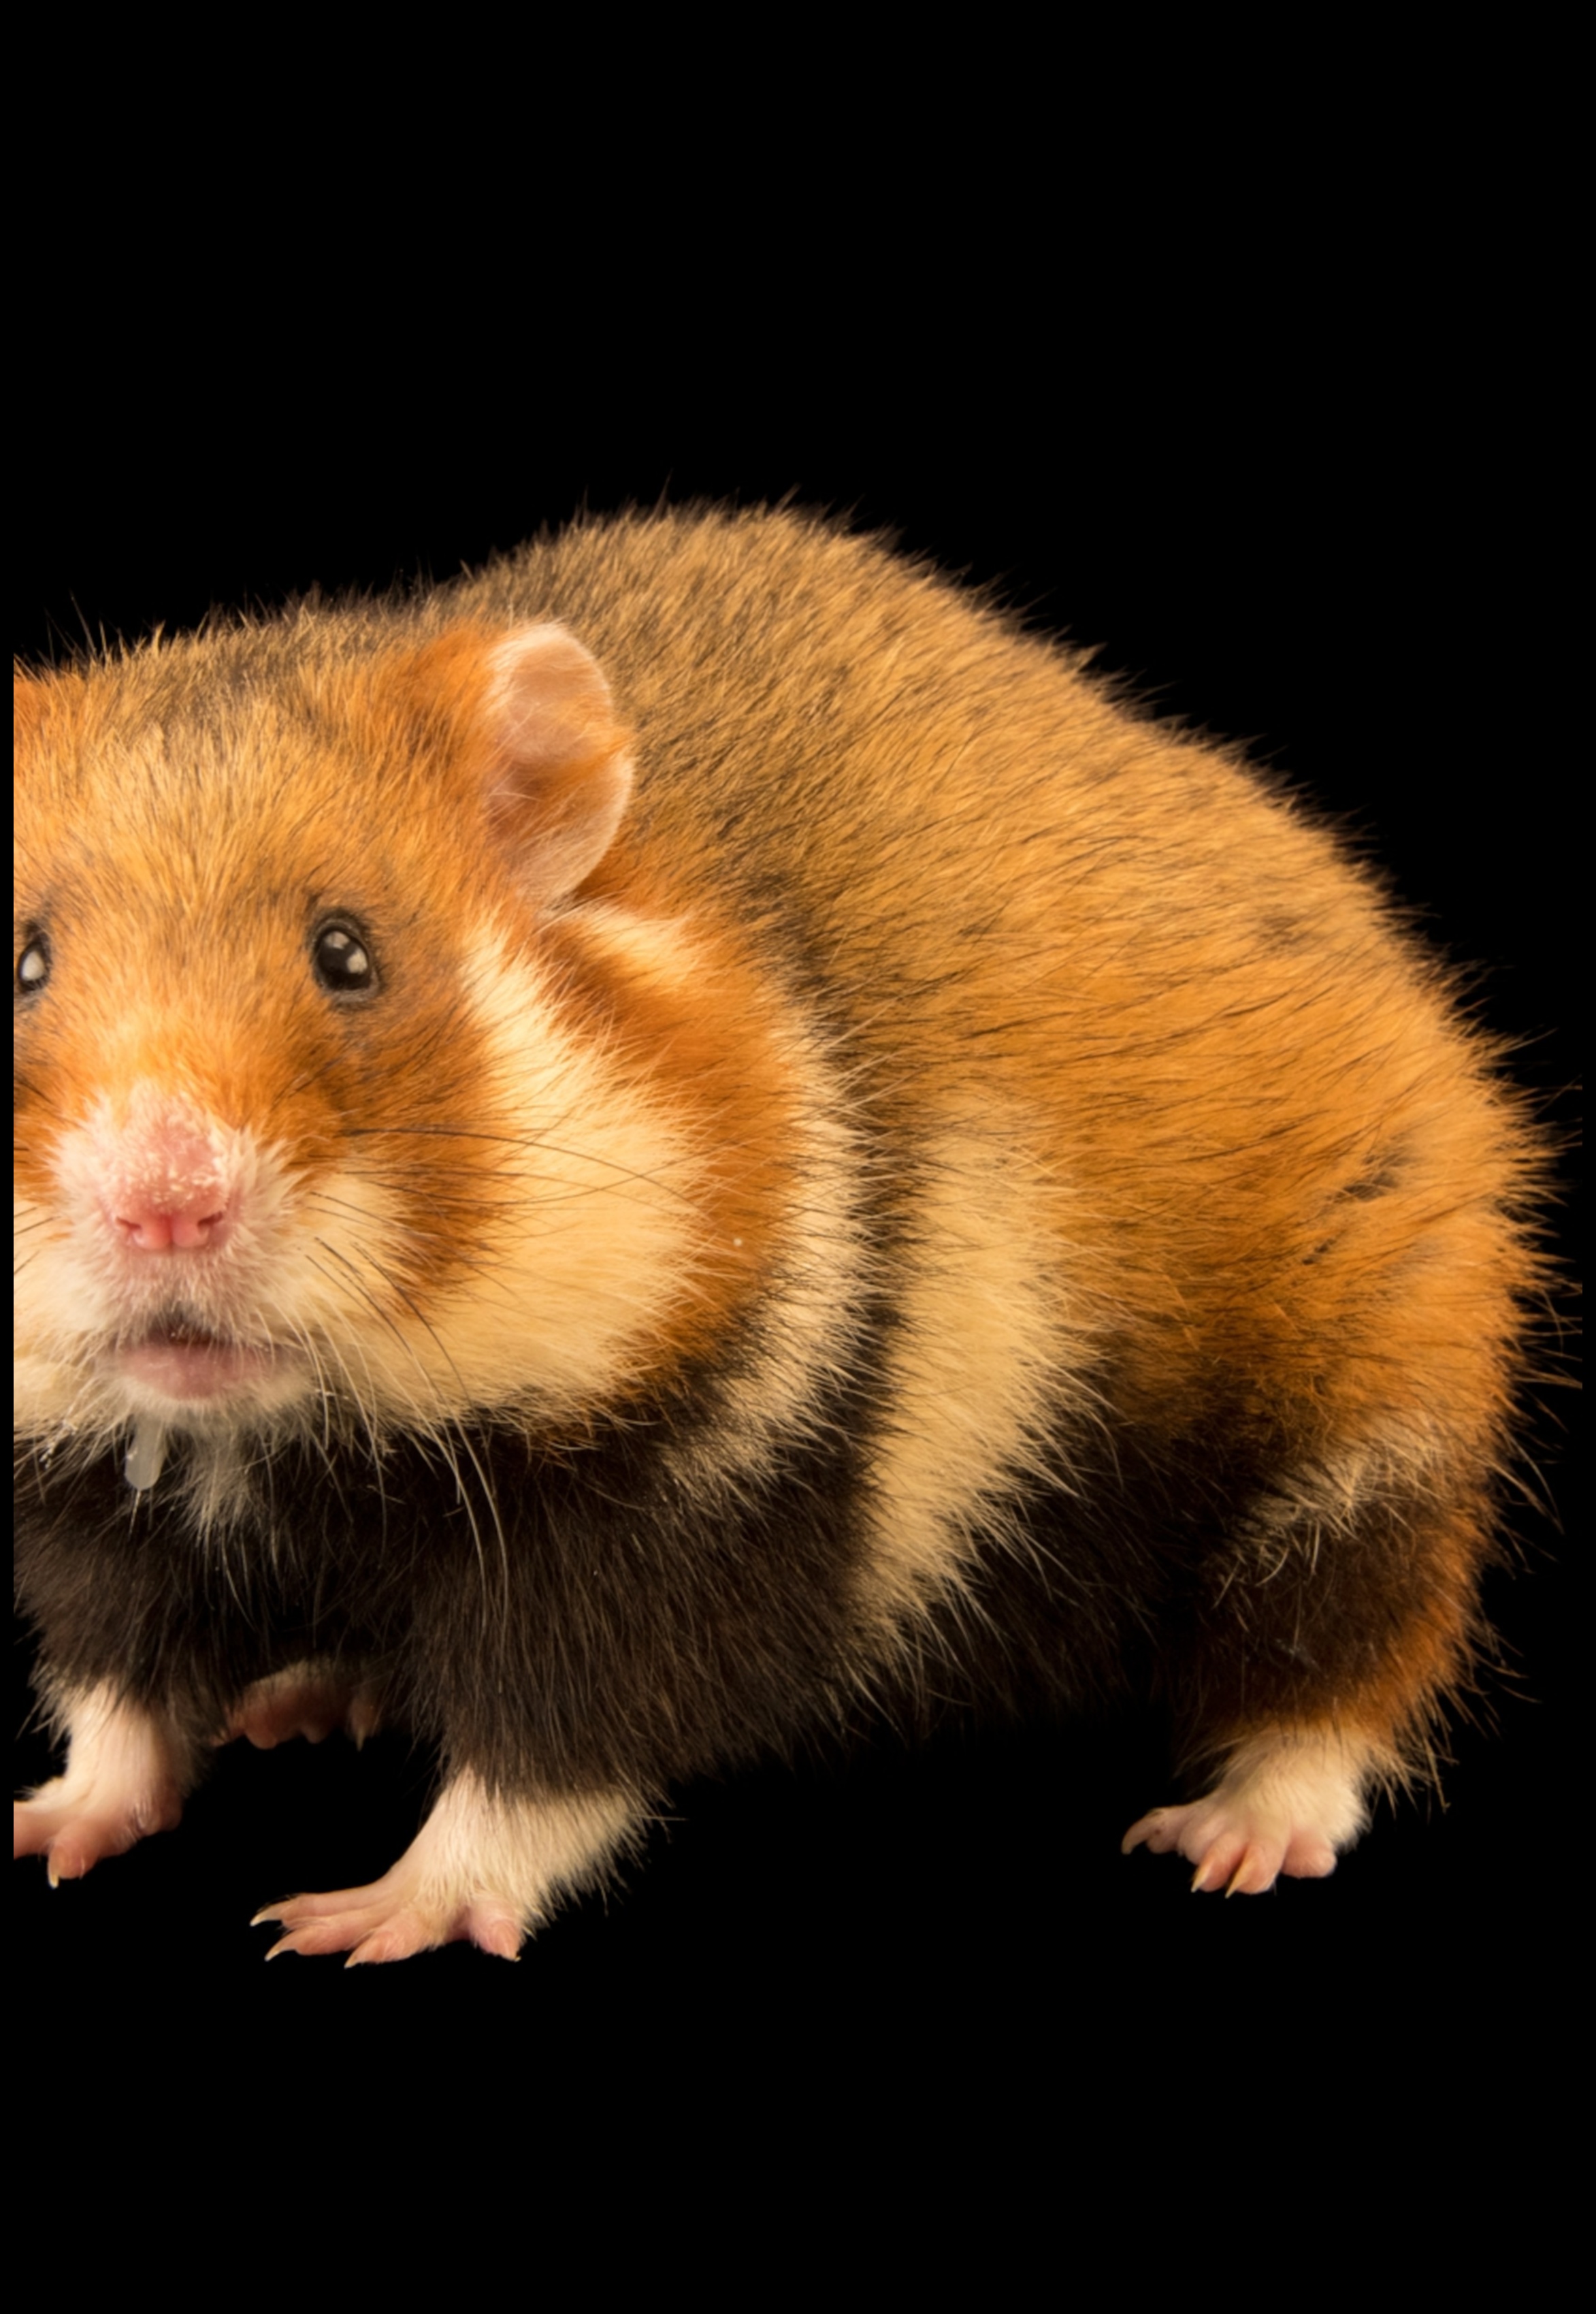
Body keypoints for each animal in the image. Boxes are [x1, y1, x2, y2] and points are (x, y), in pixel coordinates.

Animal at [13, 504, 1548, 1963]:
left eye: (349, 952)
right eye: (24, 958)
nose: (162, 1199)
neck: (288, 1441)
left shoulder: (707, 1489)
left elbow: (540, 1764)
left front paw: (370, 1914)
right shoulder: (85, 1504)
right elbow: (119, 1691)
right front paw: (54, 1820)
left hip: (1370, 1434)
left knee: (1337, 1672)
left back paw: (1233, 1835)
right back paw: (307, 1690)